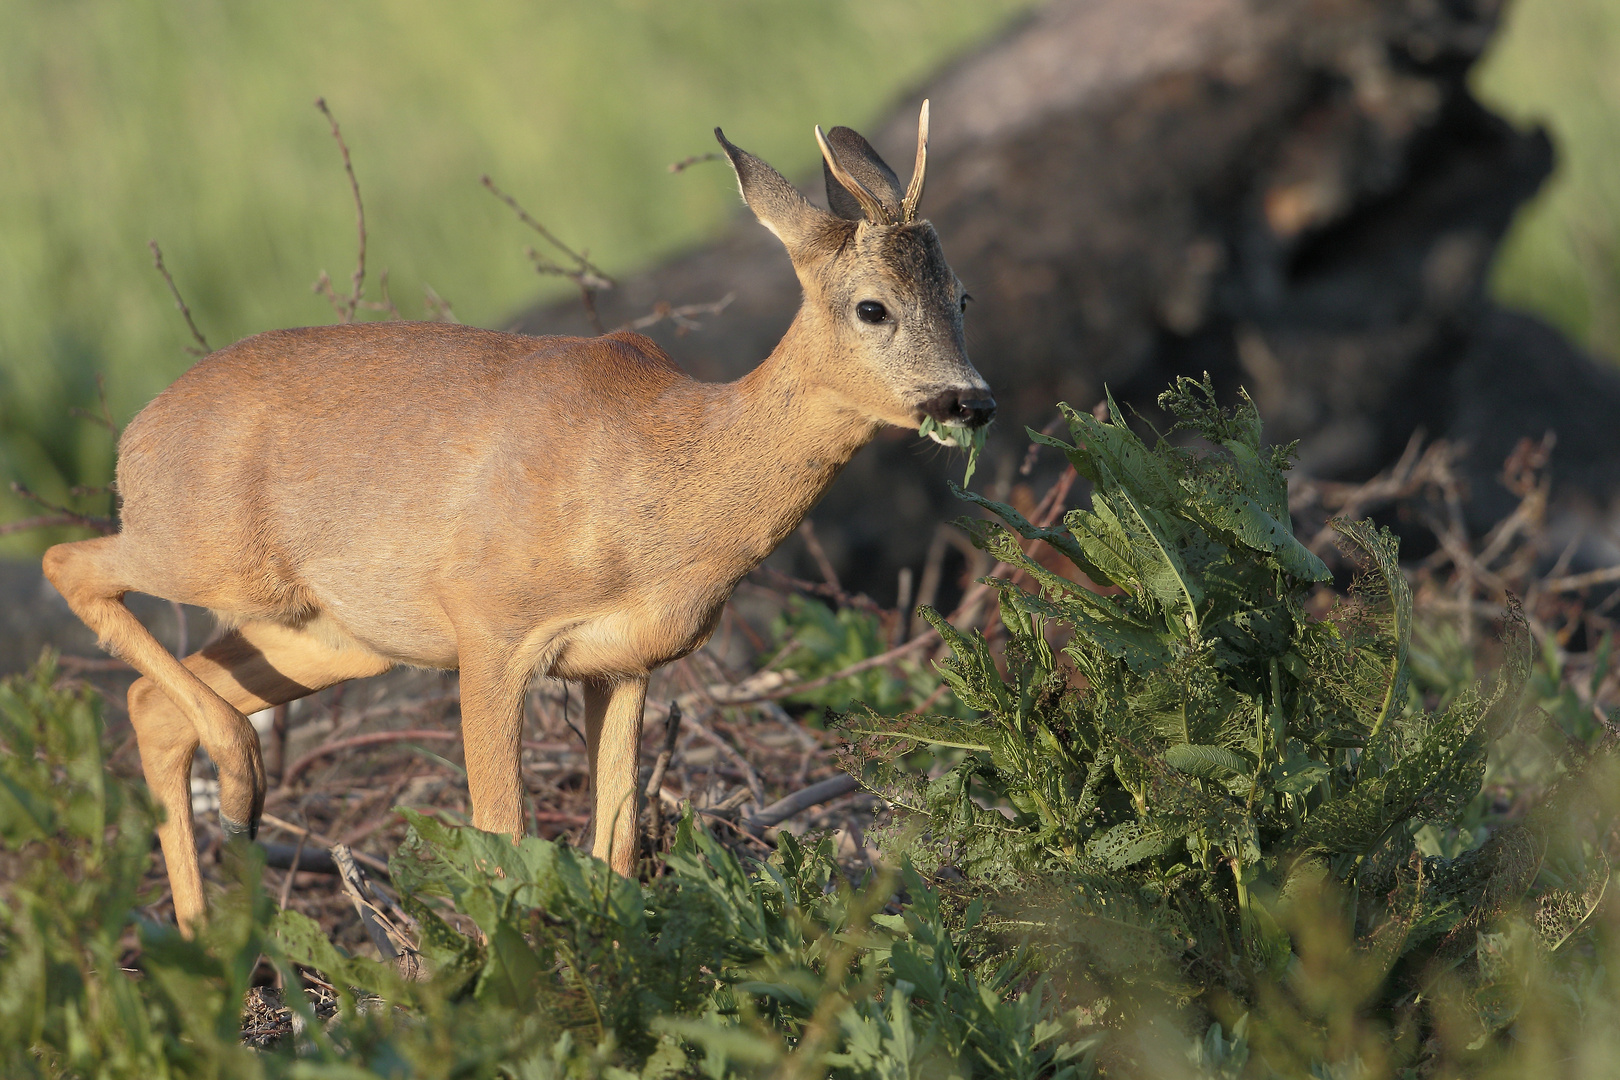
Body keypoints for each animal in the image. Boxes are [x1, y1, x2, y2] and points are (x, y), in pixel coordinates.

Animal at [47, 99, 984, 932]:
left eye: (962, 296)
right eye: (872, 305)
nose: (970, 400)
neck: (660, 478)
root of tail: (137, 433)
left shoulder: (625, 664)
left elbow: (615, 847)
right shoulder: (489, 625)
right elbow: (501, 833)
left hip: (329, 632)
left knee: (150, 705)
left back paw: (208, 936)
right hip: (205, 551)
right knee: (72, 566)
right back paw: (240, 795)